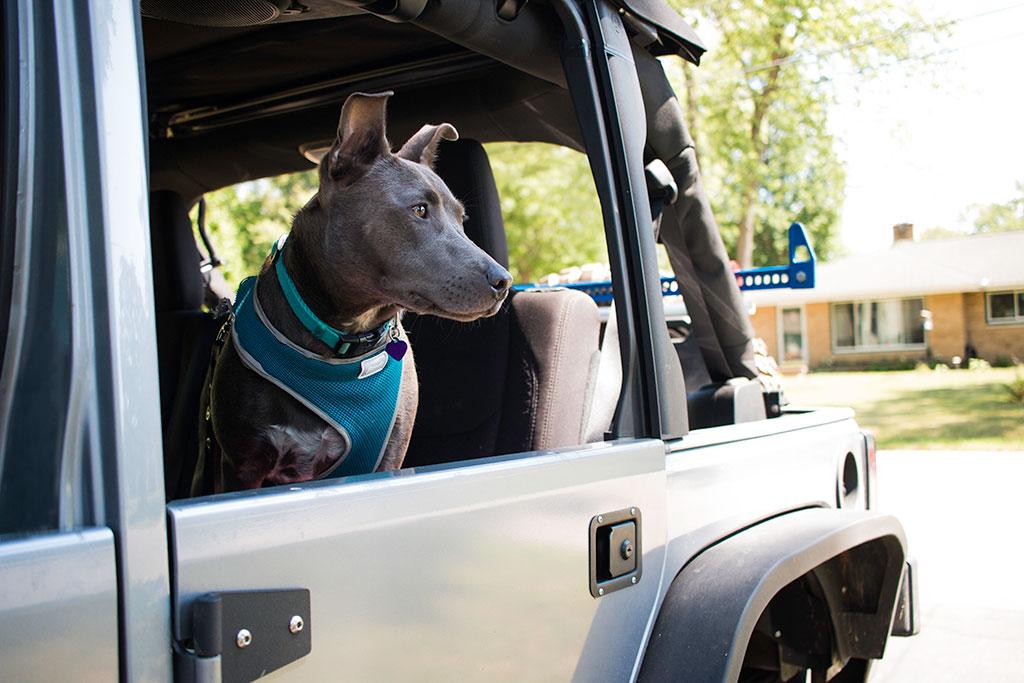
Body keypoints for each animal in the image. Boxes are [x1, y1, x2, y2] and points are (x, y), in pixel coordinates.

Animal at [192, 92, 512, 497]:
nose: (503, 280)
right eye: (419, 209)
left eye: (462, 218)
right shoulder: (242, 468)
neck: (345, 339)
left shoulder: (388, 459)